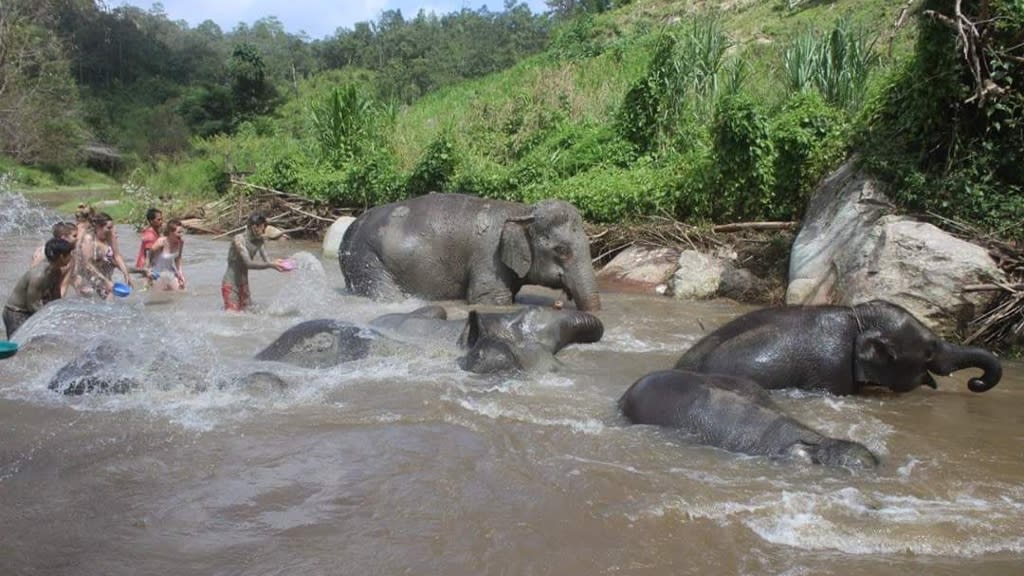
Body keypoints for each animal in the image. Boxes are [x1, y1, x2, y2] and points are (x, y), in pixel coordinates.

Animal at [339, 193, 601, 311]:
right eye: (562, 250)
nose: (562, 303)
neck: (522, 210)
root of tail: (349, 231)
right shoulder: (488, 259)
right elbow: (491, 299)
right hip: (367, 260)